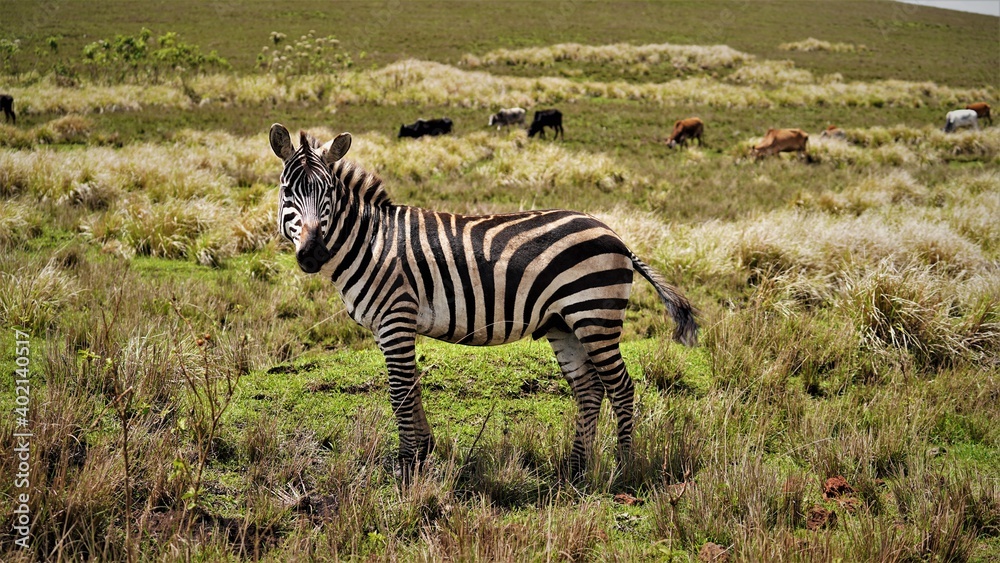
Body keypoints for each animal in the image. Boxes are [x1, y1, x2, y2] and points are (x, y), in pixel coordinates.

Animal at [269, 123, 698, 481]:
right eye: (288, 191)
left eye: (328, 193)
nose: (312, 255)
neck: (372, 241)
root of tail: (616, 235)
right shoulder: (390, 325)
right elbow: (413, 388)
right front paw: (424, 452)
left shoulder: (395, 318)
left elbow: (400, 392)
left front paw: (406, 466)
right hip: (564, 323)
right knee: (589, 390)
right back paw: (576, 469)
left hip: (595, 316)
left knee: (621, 388)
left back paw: (623, 468)